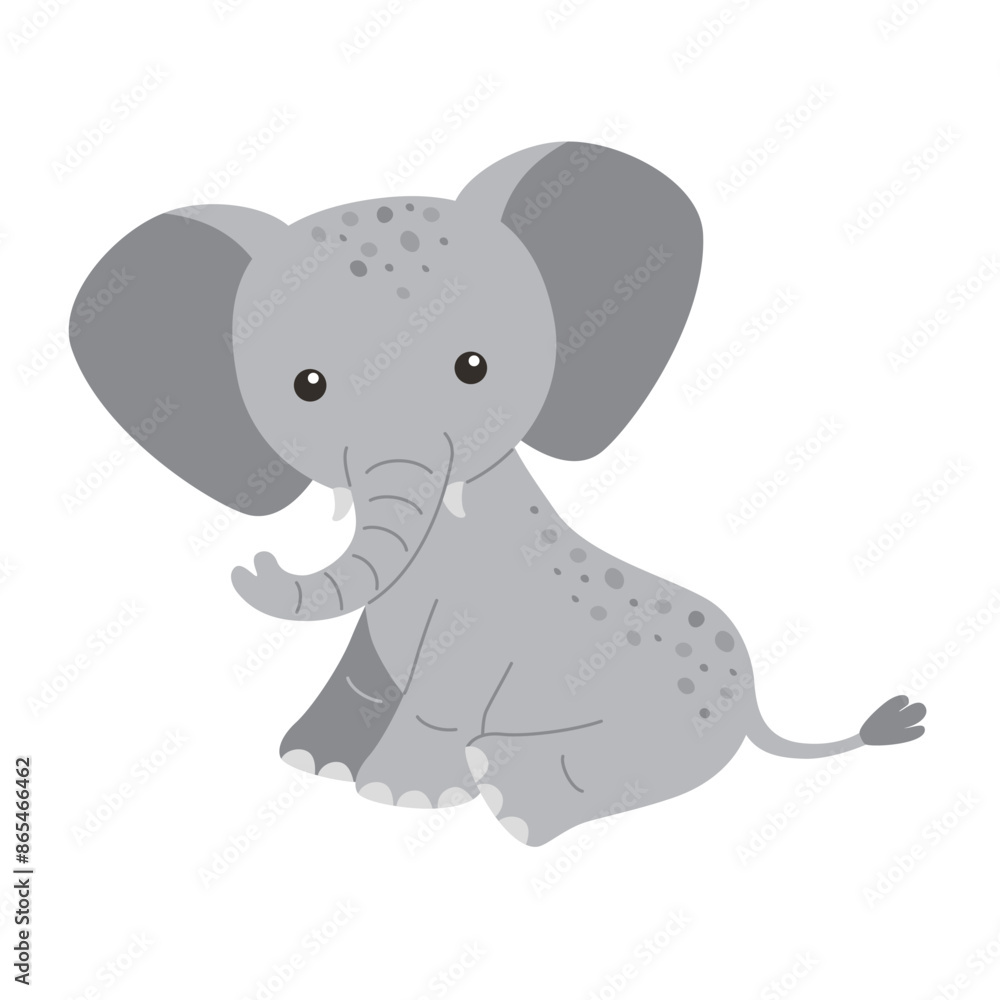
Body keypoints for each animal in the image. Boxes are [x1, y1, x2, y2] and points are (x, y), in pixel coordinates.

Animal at [71, 141, 926, 846]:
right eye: (306, 386)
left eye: (474, 367)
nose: (257, 566)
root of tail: (758, 712)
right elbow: (367, 656)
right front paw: (314, 762)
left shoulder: (479, 618)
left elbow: (447, 685)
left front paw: (397, 796)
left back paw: (511, 798)